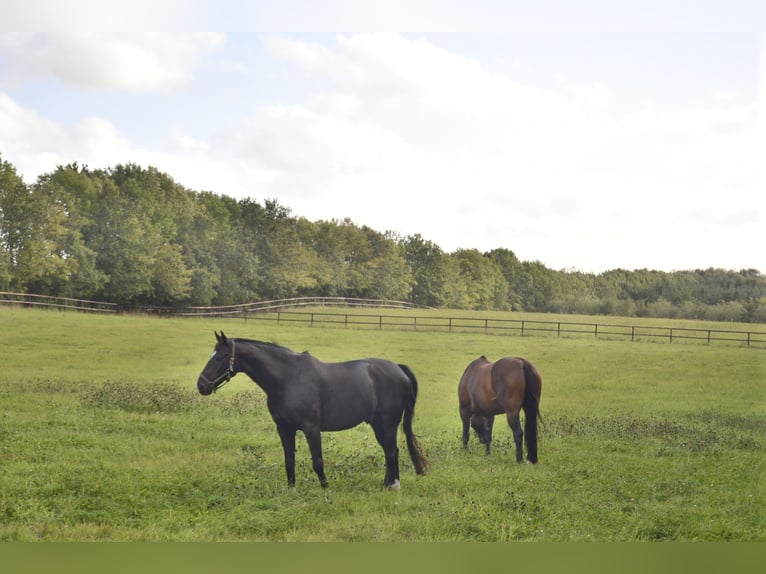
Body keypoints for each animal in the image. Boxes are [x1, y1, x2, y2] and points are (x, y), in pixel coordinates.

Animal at [196, 331, 428, 489]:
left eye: (220, 357)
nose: (201, 385)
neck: (288, 379)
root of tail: (398, 368)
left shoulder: (311, 428)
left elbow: (317, 461)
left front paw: (326, 491)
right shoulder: (284, 429)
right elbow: (289, 461)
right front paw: (291, 490)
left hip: (387, 424)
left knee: (392, 451)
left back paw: (393, 486)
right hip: (378, 425)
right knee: (389, 452)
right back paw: (386, 485)